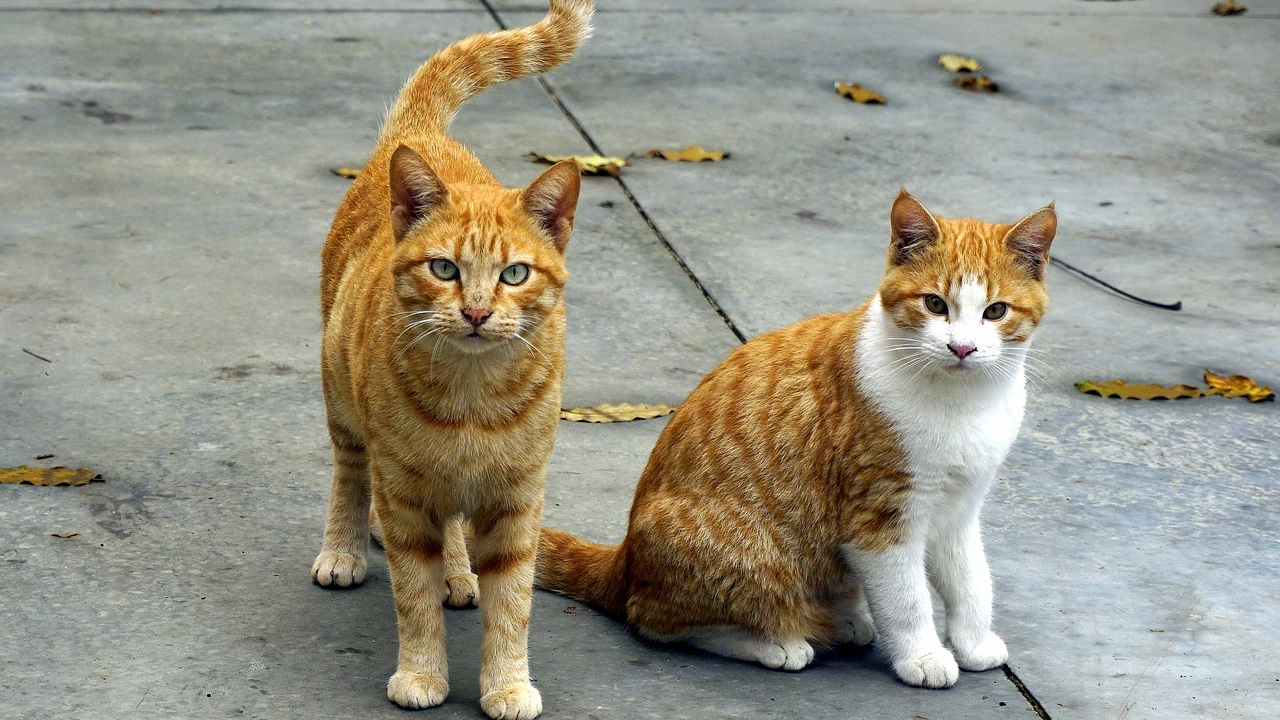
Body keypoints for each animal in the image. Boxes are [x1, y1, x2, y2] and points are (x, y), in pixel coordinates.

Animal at [309, 2, 593, 712]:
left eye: (515, 274)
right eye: (444, 269)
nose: (477, 313)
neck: (471, 393)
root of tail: (418, 134)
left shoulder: (517, 501)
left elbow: (511, 606)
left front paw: (507, 682)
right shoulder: (405, 494)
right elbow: (412, 600)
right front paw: (421, 674)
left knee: (458, 532)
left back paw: (459, 573)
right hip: (340, 399)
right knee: (349, 473)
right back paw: (345, 547)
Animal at [535, 192, 1054, 691]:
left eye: (995, 311)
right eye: (934, 305)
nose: (962, 348)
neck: (962, 402)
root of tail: (623, 561)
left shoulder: (958, 511)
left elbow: (972, 583)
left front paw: (972, 644)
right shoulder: (880, 521)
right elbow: (907, 600)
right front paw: (922, 656)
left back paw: (844, 620)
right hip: (746, 559)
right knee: (655, 621)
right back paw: (777, 643)